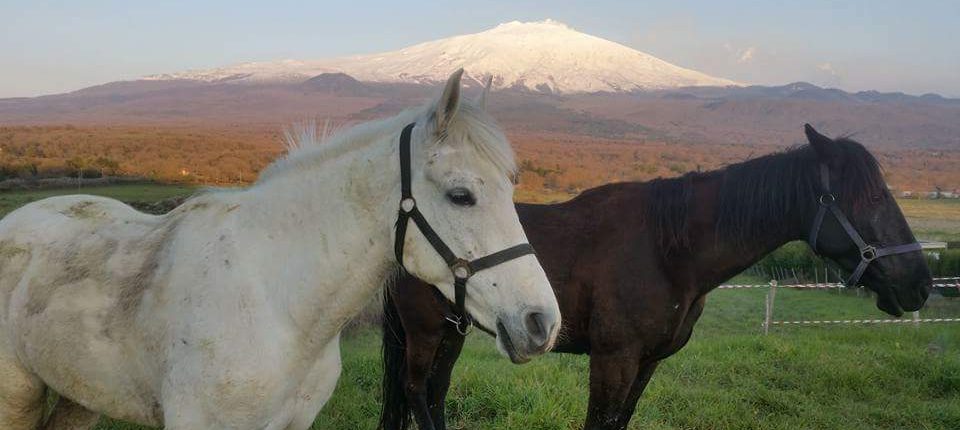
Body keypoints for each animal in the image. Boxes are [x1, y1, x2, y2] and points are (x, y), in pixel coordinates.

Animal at [0, 71, 560, 430]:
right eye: (461, 195)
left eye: (512, 189)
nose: (542, 324)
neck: (279, 305)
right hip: (17, 394)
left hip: (79, 392)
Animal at [376, 125, 928, 430]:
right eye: (869, 198)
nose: (919, 284)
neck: (668, 253)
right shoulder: (614, 359)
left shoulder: (648, 363)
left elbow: (621, 421)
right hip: (426, 332)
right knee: (416, 391)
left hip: (452, 331)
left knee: (434, 393)